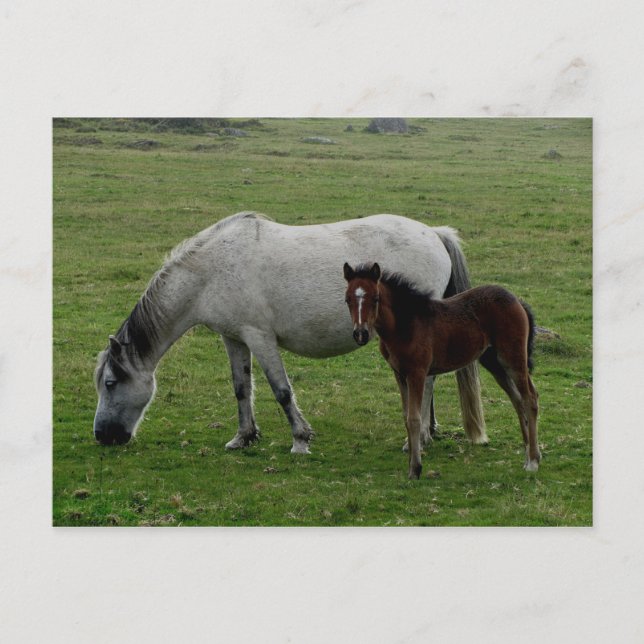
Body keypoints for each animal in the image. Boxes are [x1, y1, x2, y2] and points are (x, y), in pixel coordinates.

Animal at [94, 211, 488, 454]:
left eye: (110, 383)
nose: (102, 436)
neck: (211, 269)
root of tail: (434, 234)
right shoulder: (233, 338)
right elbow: (241, 388)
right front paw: (243, 437)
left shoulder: (260, 337)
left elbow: (281, 390)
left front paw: (300, 439)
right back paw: (428, 431)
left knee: (427, 379)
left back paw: (416, 439)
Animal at [343, 262, 540, 479]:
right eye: (347, 299)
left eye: (376, 298)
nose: (361, 334)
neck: (406, 324)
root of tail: (517, 300)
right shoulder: (399, 374)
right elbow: (405, 416)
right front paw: (411, 460)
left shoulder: (417, 373)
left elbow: (414, 418)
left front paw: (415, 468)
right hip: (495, 363)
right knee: (518, 399)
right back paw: (529, 451)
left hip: (513, 358)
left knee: (530, 398)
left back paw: (532, 461)